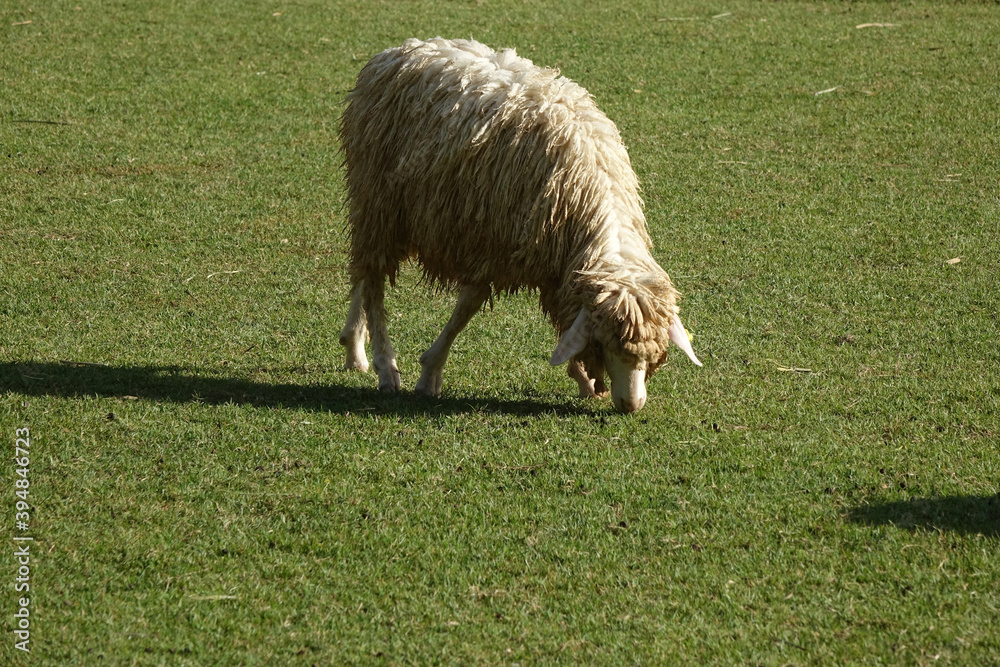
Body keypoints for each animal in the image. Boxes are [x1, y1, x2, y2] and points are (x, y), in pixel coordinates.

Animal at [340, 37, 700, 412]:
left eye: (654, 353)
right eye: (603, 342)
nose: (631, 404)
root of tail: (400, 50)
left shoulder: (557, 268)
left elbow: (563, 323)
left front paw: (582, 378)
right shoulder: (491, 243)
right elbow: (467, 307)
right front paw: (430, 374)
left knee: (362, 273)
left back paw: (354, 346)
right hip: (378, 199)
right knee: (373, 280)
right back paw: (385, 367)